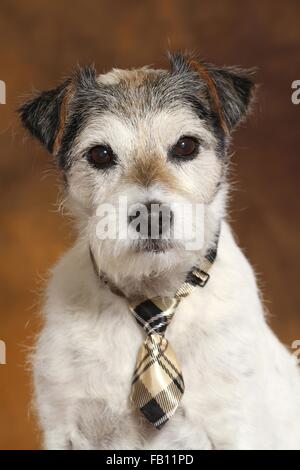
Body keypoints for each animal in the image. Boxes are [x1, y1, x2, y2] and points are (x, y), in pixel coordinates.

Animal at [18, 52, 300, 452]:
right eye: (100, 154)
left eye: (185, 146)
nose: (151, 216)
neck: (152, 300)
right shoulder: (64, 427)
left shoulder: (235, 425)